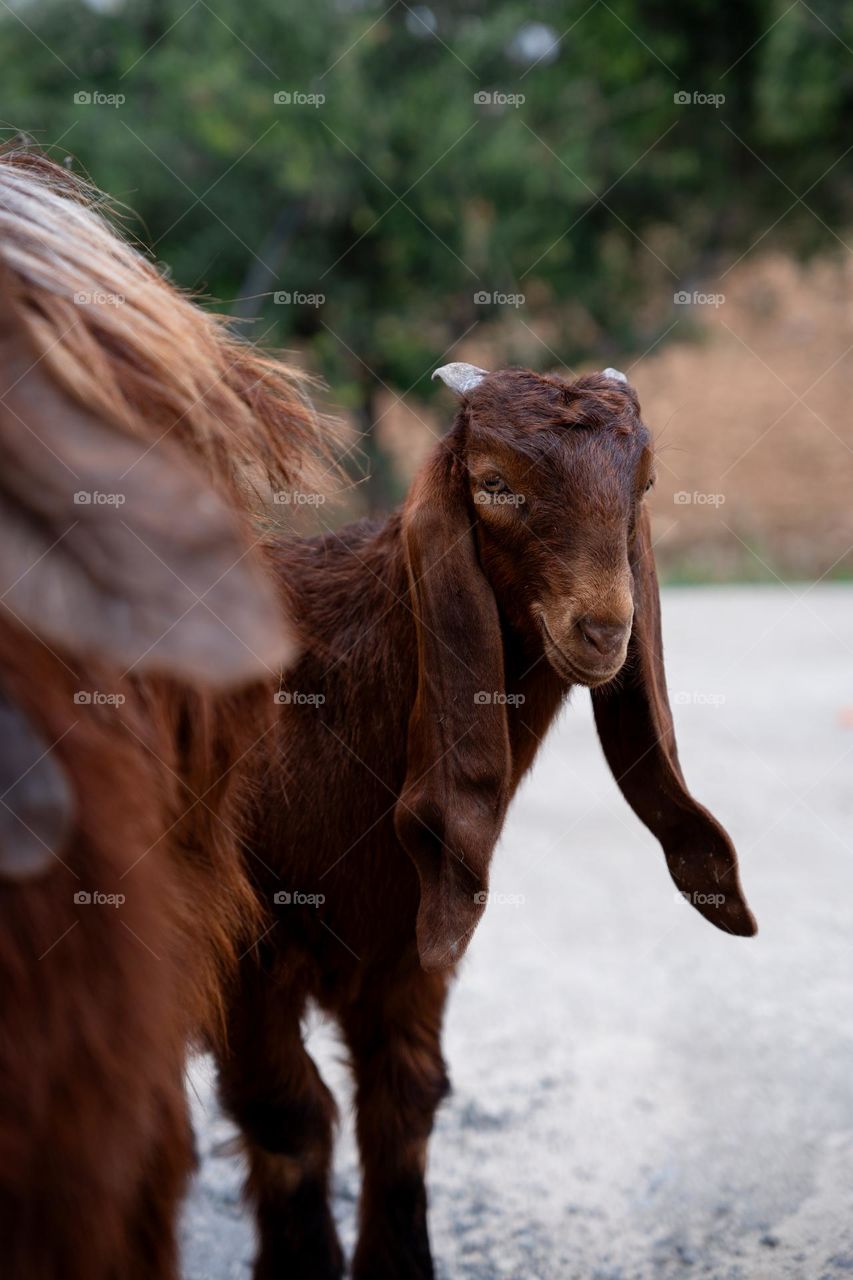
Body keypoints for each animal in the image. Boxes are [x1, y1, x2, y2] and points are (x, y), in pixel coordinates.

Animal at [215, 360, 758, 1280]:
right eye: (494, 484)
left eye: (644, 483)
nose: (603, 629)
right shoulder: (240, 954)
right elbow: (289, 1120)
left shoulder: (414, 941)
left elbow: (404, 1106)